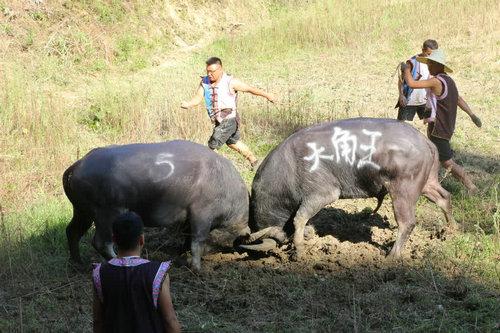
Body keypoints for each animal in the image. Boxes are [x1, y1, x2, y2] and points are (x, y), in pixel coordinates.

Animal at [63, 139, 250, 268]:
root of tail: (78, 165)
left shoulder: (188, 220)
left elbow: (187, 238)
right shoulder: (201, 214)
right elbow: (198, 240)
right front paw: (197, 268)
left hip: (82, 212)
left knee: (72, 231)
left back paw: (78, 264)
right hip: (107, 214)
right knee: (100, 242)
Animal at [241, 118, 454, 258]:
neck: (288, 169)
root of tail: (426, 142)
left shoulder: (322, 194)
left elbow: (299, 218)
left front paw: (299, 251)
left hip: (403, 190)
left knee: (407, 223)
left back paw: (392, 256)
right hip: (427, 183)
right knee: (445, 197)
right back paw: (450, 231)